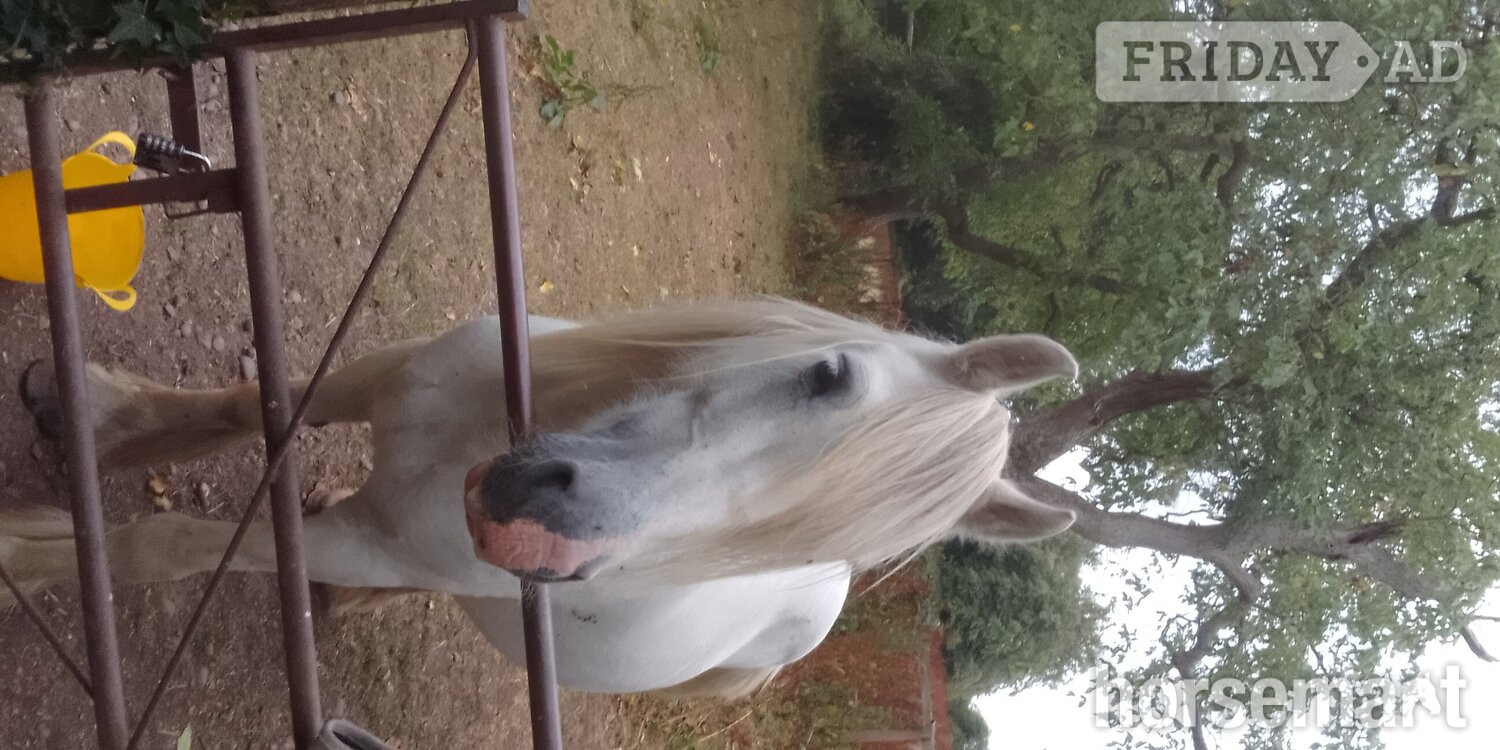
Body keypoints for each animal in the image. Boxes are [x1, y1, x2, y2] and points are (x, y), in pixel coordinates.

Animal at [0, 297, 1078, 696]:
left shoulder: (364, 540)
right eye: (826, 375)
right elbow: (247, 405)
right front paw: (98, 414)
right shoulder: (379, 377)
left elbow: (168, 545)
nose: (539, 532)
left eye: (793, 540)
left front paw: (27, 555)